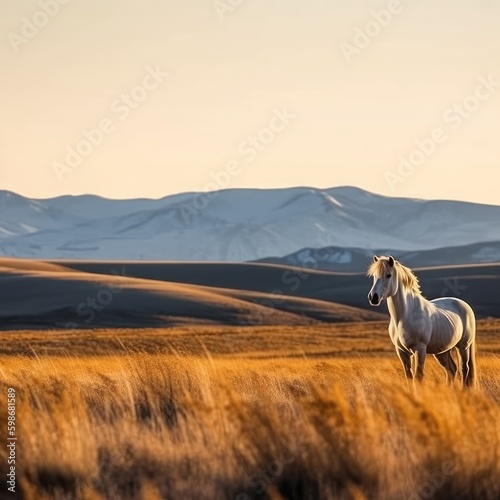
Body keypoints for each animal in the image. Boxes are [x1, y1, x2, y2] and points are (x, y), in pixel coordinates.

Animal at [368, 254, 476, 386]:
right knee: (451, 369)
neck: (404, 316)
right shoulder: (401, 352)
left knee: (464, 369)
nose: (373, 298)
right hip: (442, 351)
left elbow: (418, 377)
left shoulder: (419, 349)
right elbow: (409, 377)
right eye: (374, 276)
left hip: (463, 347)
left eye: (388, 275)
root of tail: (464, 305)